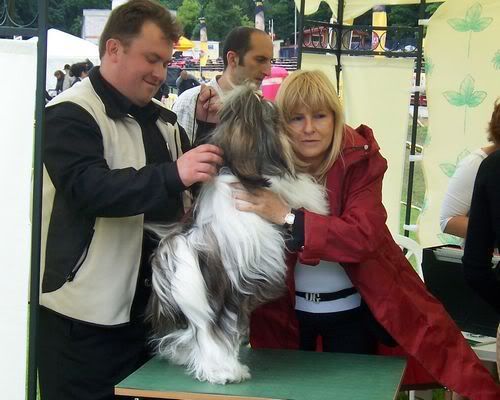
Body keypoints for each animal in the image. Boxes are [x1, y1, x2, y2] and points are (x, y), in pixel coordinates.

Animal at [148, 85, 329, 384]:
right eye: (273, 119)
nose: (287, 128)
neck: (234, 165)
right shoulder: (277, 182)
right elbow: (299, 187)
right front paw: (318, 200)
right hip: (223, 303)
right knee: (213, 336)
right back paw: (226, 372)